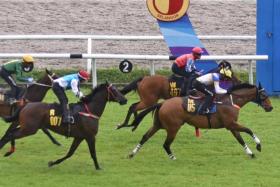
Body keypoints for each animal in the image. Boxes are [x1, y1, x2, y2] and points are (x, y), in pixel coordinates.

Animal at [128, 83, 272, 159]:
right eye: (264, 95)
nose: (271, 107)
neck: (231, 101)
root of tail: (162, 103)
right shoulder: (231, 124)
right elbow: (249, 130)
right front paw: (258, 145)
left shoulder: (231, 126)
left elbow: (240, 139)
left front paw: (250, 153)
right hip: (173, 127)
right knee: (166, 144)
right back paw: (173, 158)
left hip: (158, 125)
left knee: (145, 137)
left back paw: (132, 153)